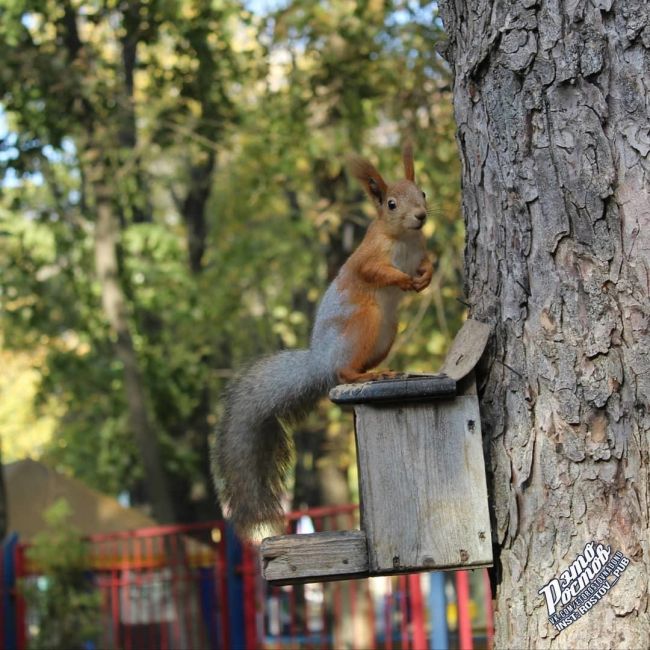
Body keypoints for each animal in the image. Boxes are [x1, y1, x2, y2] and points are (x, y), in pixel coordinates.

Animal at [213, 144, 432, 540]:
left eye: (422, 192)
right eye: (391, 204)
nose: (421, 216)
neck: (405, 240)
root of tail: (321, 361)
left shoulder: (420, 248)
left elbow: (428, 261)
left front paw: (426, 277)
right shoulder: (367, 258)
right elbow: (374, 271)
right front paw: (404, 281)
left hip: (387, 333)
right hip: (365, 322)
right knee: (344, 373)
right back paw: (367, 376)